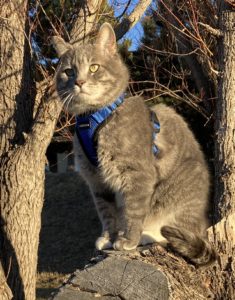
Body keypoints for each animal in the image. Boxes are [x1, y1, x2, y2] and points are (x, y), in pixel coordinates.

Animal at [52, 24, 216, 268]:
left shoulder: (138, 174)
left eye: (94, 67)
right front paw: (109, 237)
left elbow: (133, 209)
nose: (79, 82)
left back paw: (147, 235)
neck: (92, 118)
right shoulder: (96, 180)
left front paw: (128, 239)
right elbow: (106, 212)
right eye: (69, 71)